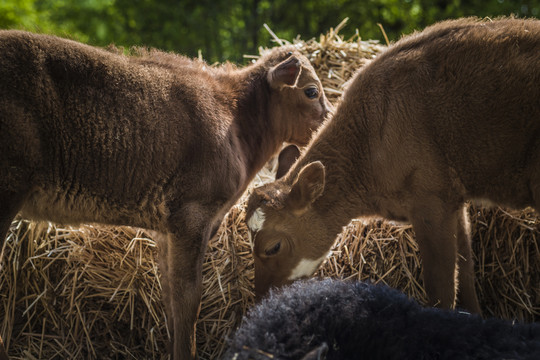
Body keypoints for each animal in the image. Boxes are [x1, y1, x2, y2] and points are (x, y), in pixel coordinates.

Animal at [0, 30, 332, 358]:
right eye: (311, 91)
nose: (329, 120)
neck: (236, 123)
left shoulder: (166, 228)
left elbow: (170, 298)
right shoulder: (192, 214)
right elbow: (188, 298)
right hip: (10, 185)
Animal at [246, 18, 540, 314]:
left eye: (273, 247)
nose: (260, 303)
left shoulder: (431, 201)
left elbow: (441, 288)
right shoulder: (454, 201)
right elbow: (466, 275)